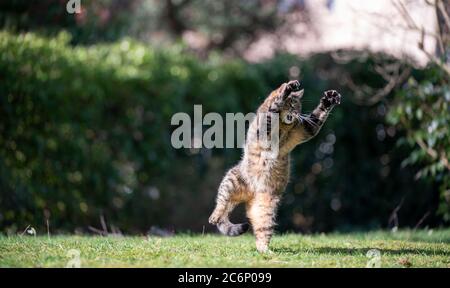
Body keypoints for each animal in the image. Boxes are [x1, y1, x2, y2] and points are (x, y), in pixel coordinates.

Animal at [208, 80, 342, 253]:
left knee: (261, 232)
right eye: (292, 104)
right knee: (221, 204)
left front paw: (329, 99)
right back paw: (215, 216)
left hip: (266, 209)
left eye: (299, 107)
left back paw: (266, 251)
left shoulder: (306, 128)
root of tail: (249, 194)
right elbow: (274, 103)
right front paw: (287, 88)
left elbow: (318, 115)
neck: (283, 125)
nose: (297, 113)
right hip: (231, 181)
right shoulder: (265, 123)